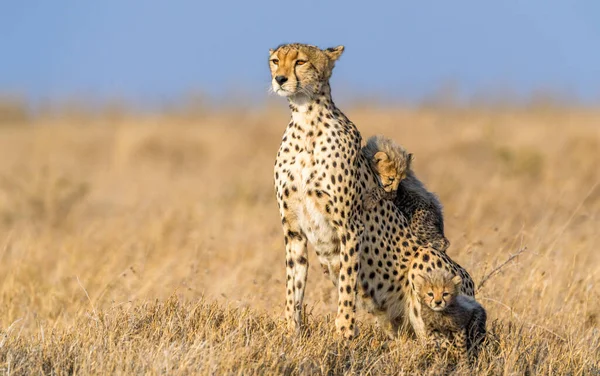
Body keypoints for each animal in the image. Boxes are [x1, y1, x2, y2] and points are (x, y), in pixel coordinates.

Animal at [268, 42, 474, 340]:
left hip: (427, 260)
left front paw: (343, 332)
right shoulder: (293, 229)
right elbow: (293, 286)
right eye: (275, 61)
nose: (280, 79)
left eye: (300, 62)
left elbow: (347, 283)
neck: (306, 120)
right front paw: (290, 332)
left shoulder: (350, 226)